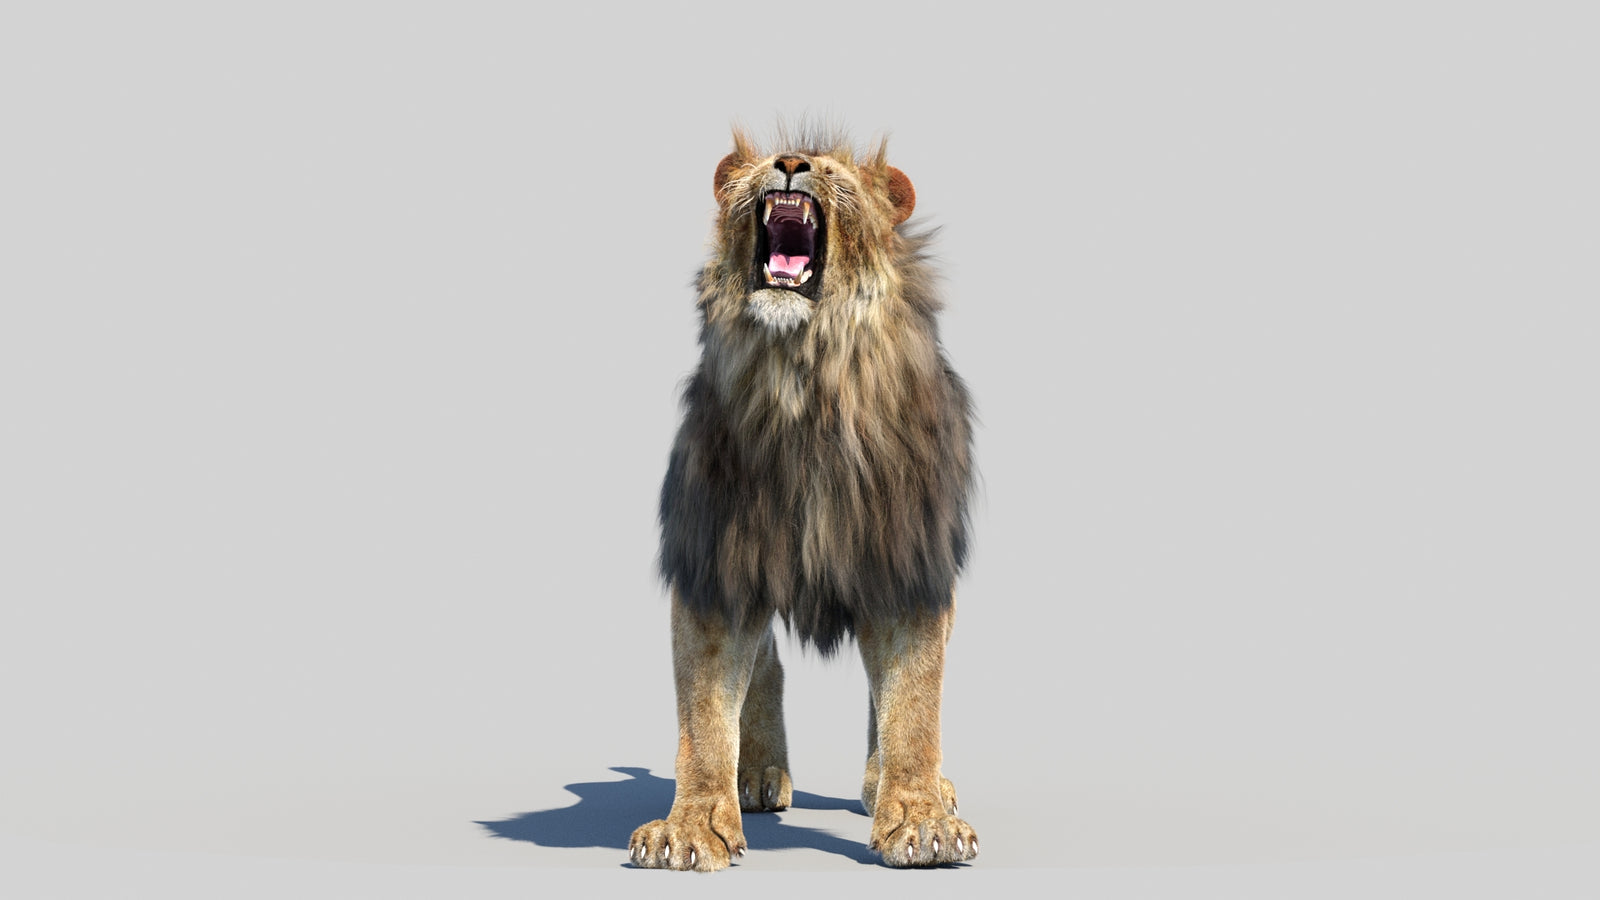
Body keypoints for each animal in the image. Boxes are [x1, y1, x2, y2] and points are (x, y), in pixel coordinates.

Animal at [628, 126, 978, 871]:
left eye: (836, 168)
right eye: (772, 156)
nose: (790, 162)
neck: (804, 381)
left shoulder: (907, 562)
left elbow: (913, 700)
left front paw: (921, 821)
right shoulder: (717, 560)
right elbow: (703, 713)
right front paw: (691, 828)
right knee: (765, 663)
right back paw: (758, 773)